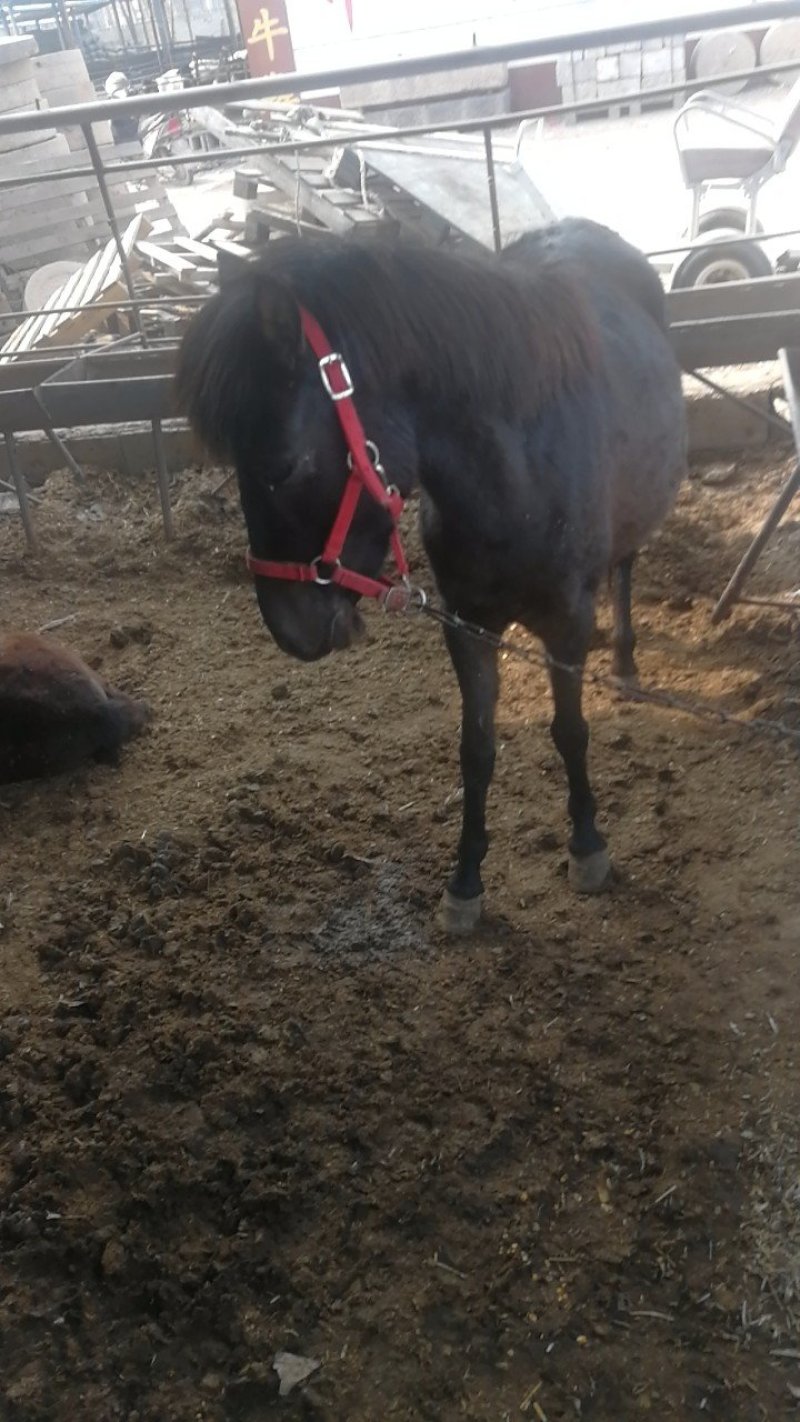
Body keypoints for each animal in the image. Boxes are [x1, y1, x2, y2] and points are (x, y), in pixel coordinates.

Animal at [175, 218, 687, 933]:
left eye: (281, 466)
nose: (289, 631)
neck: (519, 478)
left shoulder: (567, 622)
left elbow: (569, 731)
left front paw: (587, 846)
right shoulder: (465, 624)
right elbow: (476, 750)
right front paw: (465, 880)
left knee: (626, 566)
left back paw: (627, 660)